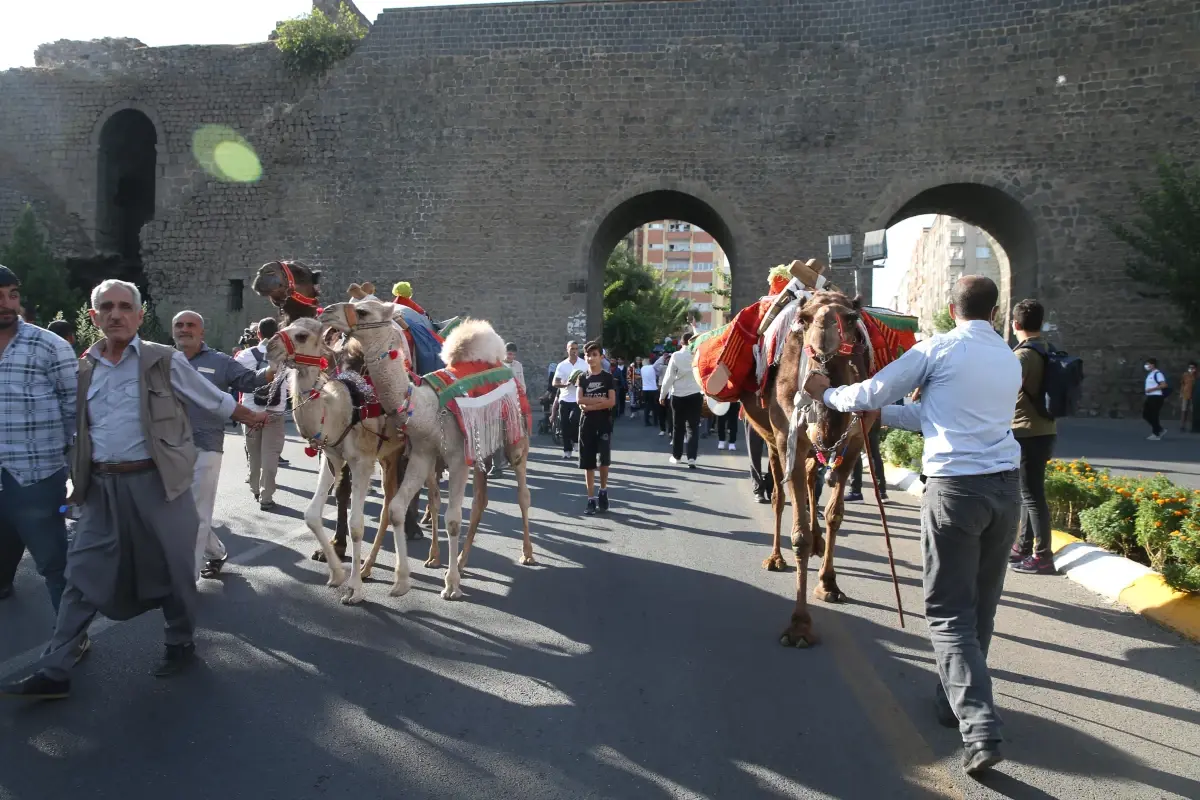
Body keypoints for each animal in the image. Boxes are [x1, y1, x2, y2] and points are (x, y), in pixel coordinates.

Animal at [319, 299, 535, 599]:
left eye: (363, 311)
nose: (326, 311)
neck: (425, 409)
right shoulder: (423, 454)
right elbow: (397, 508)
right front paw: (400, 582)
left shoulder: (456, 458)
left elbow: (452, 519)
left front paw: (451, 586)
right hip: (480, 448)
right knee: (480, 500)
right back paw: (462, 560)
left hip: (515, 434)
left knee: (523, 493)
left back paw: (527, 554)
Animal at [734, 291, 878, 647]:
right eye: (803, 319)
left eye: (852, 319)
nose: (824, 354)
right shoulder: (790, 439)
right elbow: (797, 533)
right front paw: (799, 626)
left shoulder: (855, 443)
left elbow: (835, 515)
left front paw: (829, 585)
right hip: (772, 438)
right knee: (779, 496)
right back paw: (776, 558)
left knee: (814, 481)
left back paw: (818, 544)